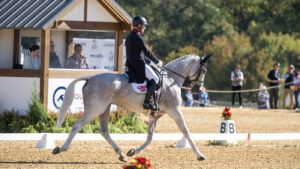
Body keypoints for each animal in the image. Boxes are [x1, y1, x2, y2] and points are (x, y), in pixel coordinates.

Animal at [52, 53, 210, 161]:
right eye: (203, 71)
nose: (198, 90)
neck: (171, 80)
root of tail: (90, 78)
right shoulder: (175, 111)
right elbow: (186, 132)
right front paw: (200, 155)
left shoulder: (155, 115)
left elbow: (150, 138)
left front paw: (133, 151)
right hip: (95, 109)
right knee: (77, 126)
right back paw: (61, 148)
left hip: (105, 109)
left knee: (104, 131)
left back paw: (121, 154)